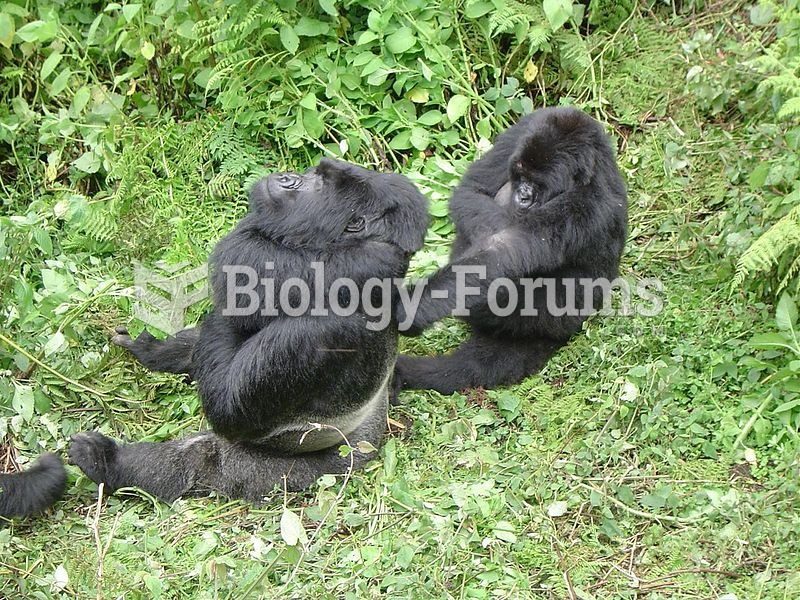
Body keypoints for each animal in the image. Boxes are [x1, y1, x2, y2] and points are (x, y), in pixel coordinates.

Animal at [67, 158, 432, 502]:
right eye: (315, 173)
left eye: (320, 184)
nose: (287, 177)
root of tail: (370, 444)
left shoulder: (317, 329)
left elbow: (227, 407)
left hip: (296, 474)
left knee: (199, 458)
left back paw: (107, 462)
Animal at [392, 106, 624, 398]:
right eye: (522, 177)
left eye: (538, 185)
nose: (523, 196)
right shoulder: (526, 128)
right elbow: (473, 190)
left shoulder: (587, 205)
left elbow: (506, 249)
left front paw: (415, 305)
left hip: (549, 323)